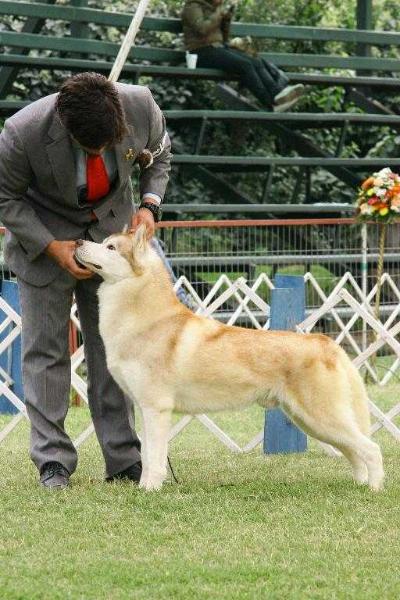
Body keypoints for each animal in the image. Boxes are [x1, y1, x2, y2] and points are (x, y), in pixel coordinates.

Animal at [74, 229, 384, 492]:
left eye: (110, 247)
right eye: (103, 242)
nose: (77, 242)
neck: (146, 319)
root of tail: (327, 343)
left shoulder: (156, 409)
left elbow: (156, 459)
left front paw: (150, 490)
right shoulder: (145, 409)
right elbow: (148, 456)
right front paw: (142, 489)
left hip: (322, 418)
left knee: (371, 449)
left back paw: (374, 489)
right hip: (310, 422)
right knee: (354, 452)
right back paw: (359, 485)